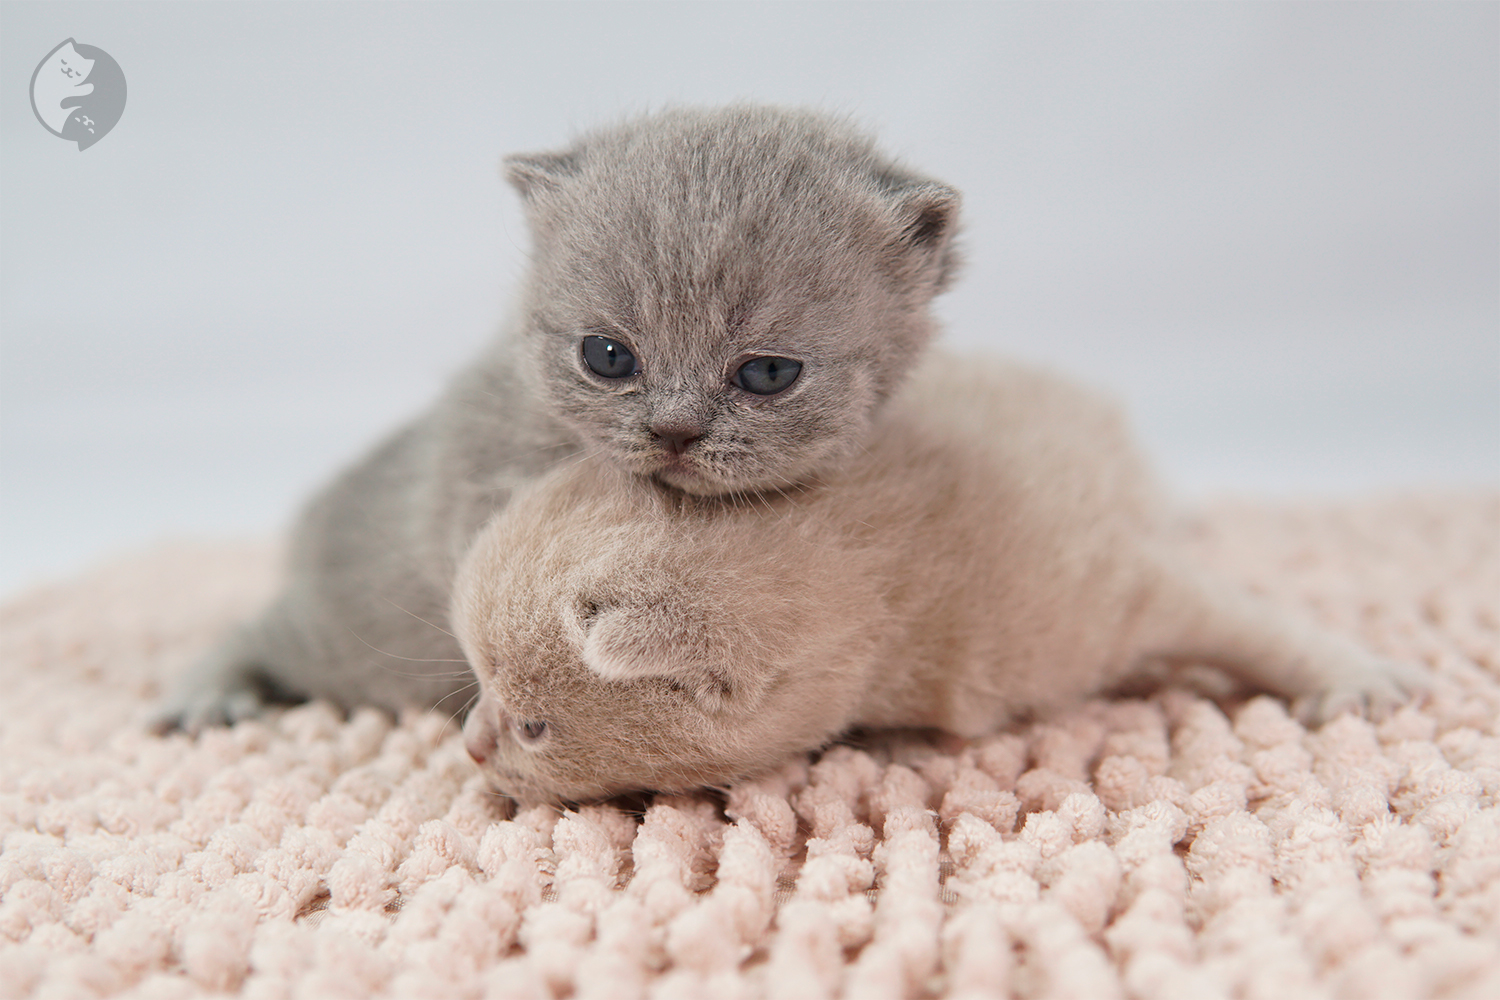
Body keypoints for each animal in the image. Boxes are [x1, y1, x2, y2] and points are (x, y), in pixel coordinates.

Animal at [155, 105, 960, 731]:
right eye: (607, 357)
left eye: (767, 374)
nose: (674, 432)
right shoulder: (479, 481)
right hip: (344, 637)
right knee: (260, 632)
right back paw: (208, 692)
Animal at [450, 352, 1422, 803]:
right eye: (477, 682)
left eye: (535, 727)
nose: (470, 746)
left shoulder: (1105, 583)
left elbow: (1243, 619)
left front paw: (1352, 674)